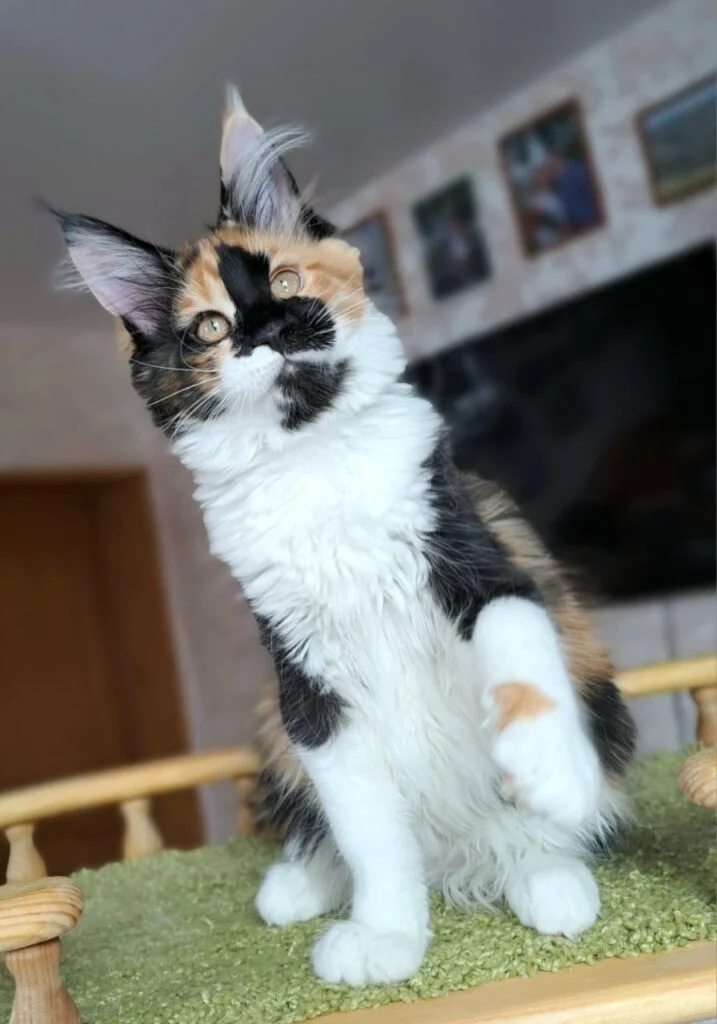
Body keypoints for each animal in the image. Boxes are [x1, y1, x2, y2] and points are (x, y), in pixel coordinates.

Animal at [53, 88, 635, 983]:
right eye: (212, 327)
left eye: (288, 280)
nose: (276, 328)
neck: (310, 457)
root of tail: (458, 852)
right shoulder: (311, 689)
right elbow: (370, 836)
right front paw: (389, 936)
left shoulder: (480, 562)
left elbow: (519, 658)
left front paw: (547, 770)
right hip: (276, 722)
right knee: (343, 835)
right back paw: (300, 885)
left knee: (538, 832)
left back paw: (548, 877)